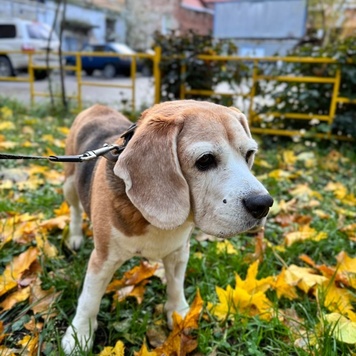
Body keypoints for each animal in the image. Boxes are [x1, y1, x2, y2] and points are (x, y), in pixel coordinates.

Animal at [62, 100, 272, 354]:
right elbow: (90, 299)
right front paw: (79, 335)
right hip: (69, 185)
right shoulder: (103, 258)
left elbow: (175, 284)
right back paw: (74, 237)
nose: (263, 204)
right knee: (74, 211)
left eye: (249, 154)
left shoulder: (179, 252)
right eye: (205, 160)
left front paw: (179, 313)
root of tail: (97, 106)